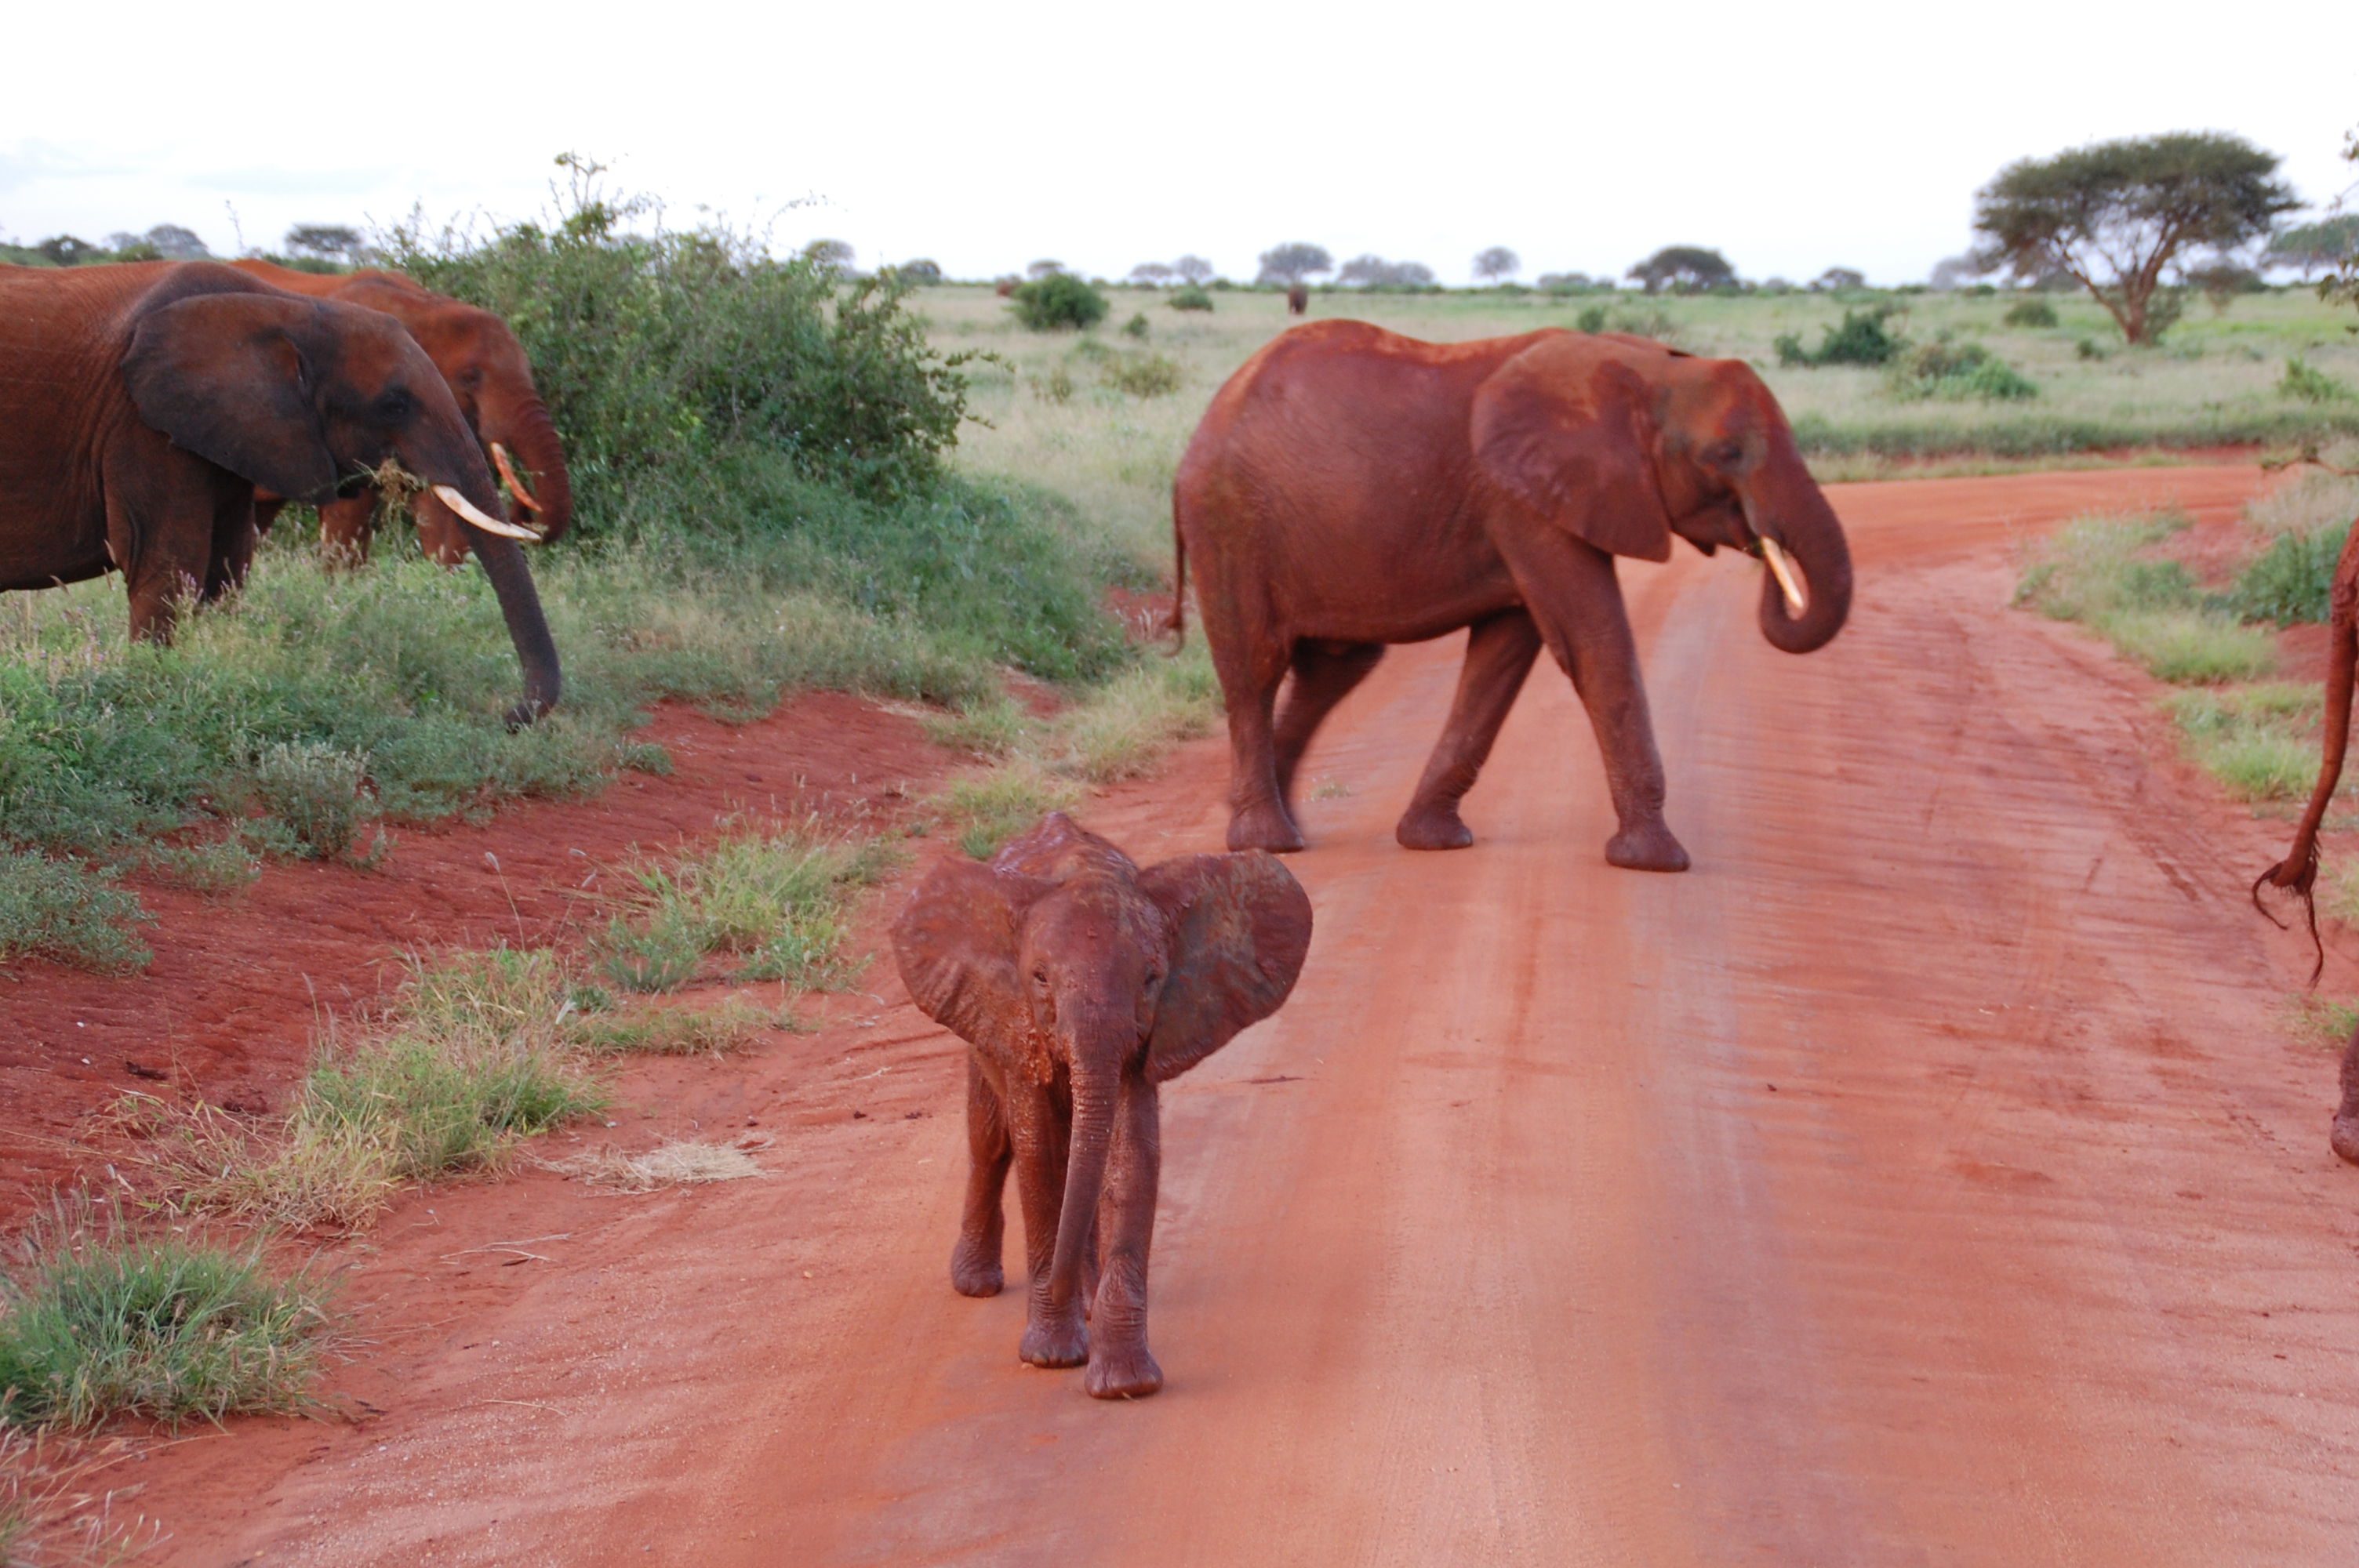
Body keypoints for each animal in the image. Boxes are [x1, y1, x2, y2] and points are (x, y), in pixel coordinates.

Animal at [892, 811, 1321, 1396]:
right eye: (1040, 977)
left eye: (1152, 978)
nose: (1059, 1287)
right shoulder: (1017, 1020)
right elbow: (1041, 1159)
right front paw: (1051, 1356)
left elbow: (1130, 1162)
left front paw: (1123, 1384)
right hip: (979, 1028)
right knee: (990, 1140)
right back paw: (978, 1284)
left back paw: (1086, 1300)